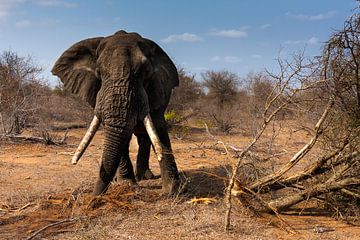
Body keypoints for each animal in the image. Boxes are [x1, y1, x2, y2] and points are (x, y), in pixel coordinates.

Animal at [51, 29, 180, 195]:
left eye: (146, 72)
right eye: (99, 72)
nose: (94, 197)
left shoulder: (157, 89)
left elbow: (158, 127)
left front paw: (172, 190)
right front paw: (126, 184)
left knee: (144, 137)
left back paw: (146, 177)